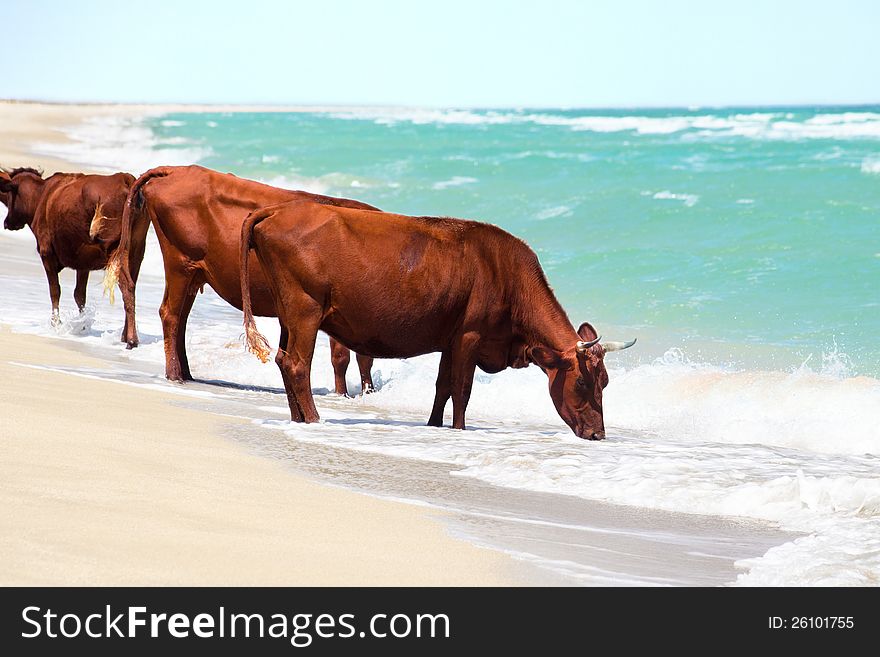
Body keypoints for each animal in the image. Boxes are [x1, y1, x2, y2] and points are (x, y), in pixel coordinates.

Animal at [109, 164, 374, 394]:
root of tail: (174, 169)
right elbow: (346, 356)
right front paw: (350, 394)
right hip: (180, 262)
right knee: (170, 314)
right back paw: (175, 374)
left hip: (193, 272)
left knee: (181, 318)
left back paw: (186, 373)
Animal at [239, 199, 632, 436]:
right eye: (581, 383)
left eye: (606, 381)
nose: (598, 434)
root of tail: (278, 209)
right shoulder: (471, 335)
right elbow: (462, 388)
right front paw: (459, 430)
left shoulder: (450, 338)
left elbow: (442, 386)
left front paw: (433, 426)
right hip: (305, 309)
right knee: (297, 363)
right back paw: (314, 418)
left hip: (288, 315)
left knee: (282, 359)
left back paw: (298, 418)